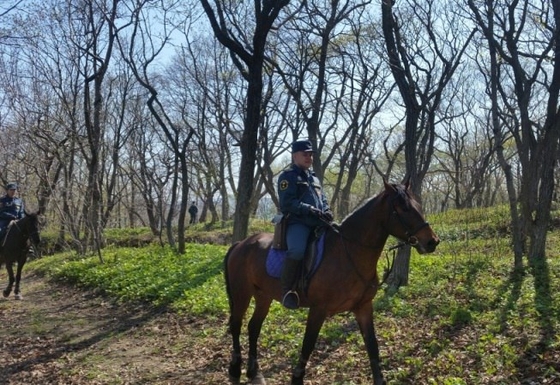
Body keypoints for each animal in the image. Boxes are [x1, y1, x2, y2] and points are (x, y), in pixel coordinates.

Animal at [225, 181, 440, 384]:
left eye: (417, 205)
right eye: (403, 208)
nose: (432, 241)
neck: (348, 252)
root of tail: (241, 244)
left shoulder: (363, 307)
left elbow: (372, 346)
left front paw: (380, 379)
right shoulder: (318, 309)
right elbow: (308, 344)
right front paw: (297, 378)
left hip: (264, 296)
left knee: (254, 327)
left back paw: (254, 373)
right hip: (242, 294)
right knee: (236, 325)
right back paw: (235, 370)